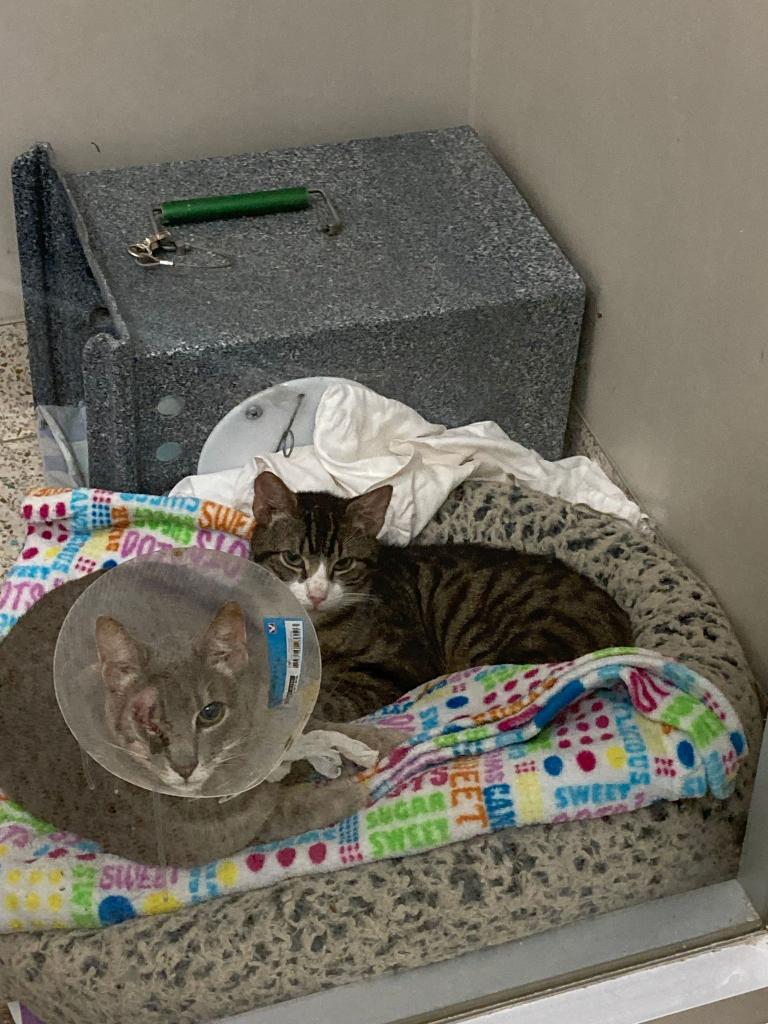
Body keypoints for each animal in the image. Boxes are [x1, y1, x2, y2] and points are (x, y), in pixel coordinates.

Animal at [0, 577, 399, 864]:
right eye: (147, 720)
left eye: (210, 713)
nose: (184, 767)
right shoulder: (238, 829)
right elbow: (284, 810)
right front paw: (346, 791)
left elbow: (313, 727)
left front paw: (379, 739)